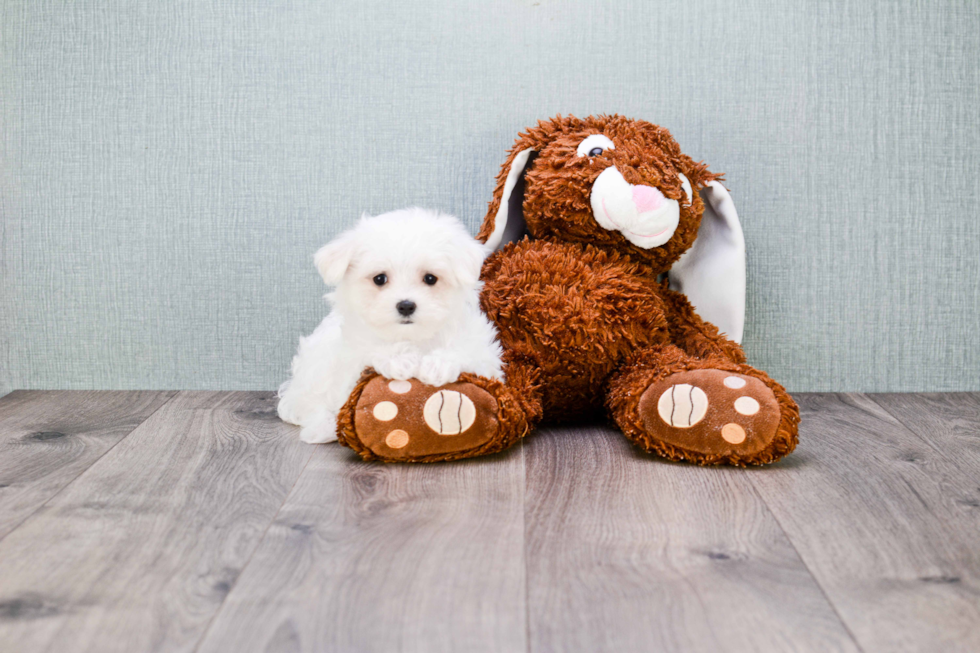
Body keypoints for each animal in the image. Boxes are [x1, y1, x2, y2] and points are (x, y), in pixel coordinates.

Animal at [276, 209, 506, 444]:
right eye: (379, 279)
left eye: (430, 278)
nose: (406, 305)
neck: (413, 336)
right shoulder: (350, 352)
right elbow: (369, 350)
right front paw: (400, 359)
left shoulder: (485, 353)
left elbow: (469, 351)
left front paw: (437, 365)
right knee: (309, 400)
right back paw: (321, 427)